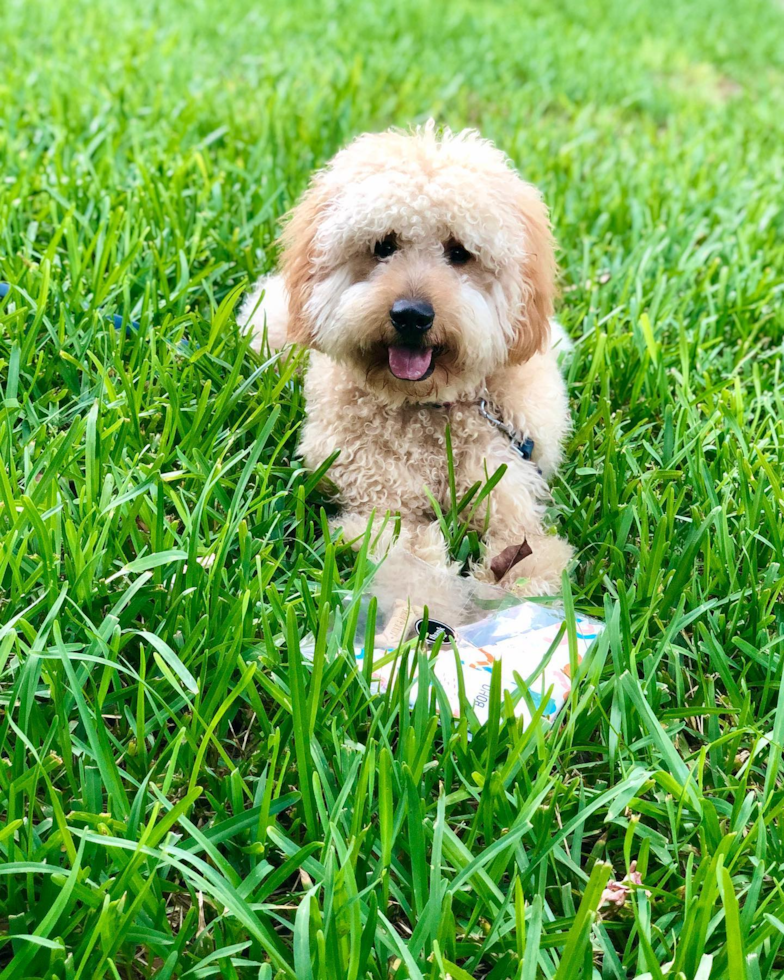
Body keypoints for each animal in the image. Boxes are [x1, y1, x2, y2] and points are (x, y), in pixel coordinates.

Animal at [242, 122, 572, 596]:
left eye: (459, 252)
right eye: (383, 246)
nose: (412, 316)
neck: (428, 407)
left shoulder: (510, 487)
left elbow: (526, 554)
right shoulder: (382, 505)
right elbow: (415, 560)